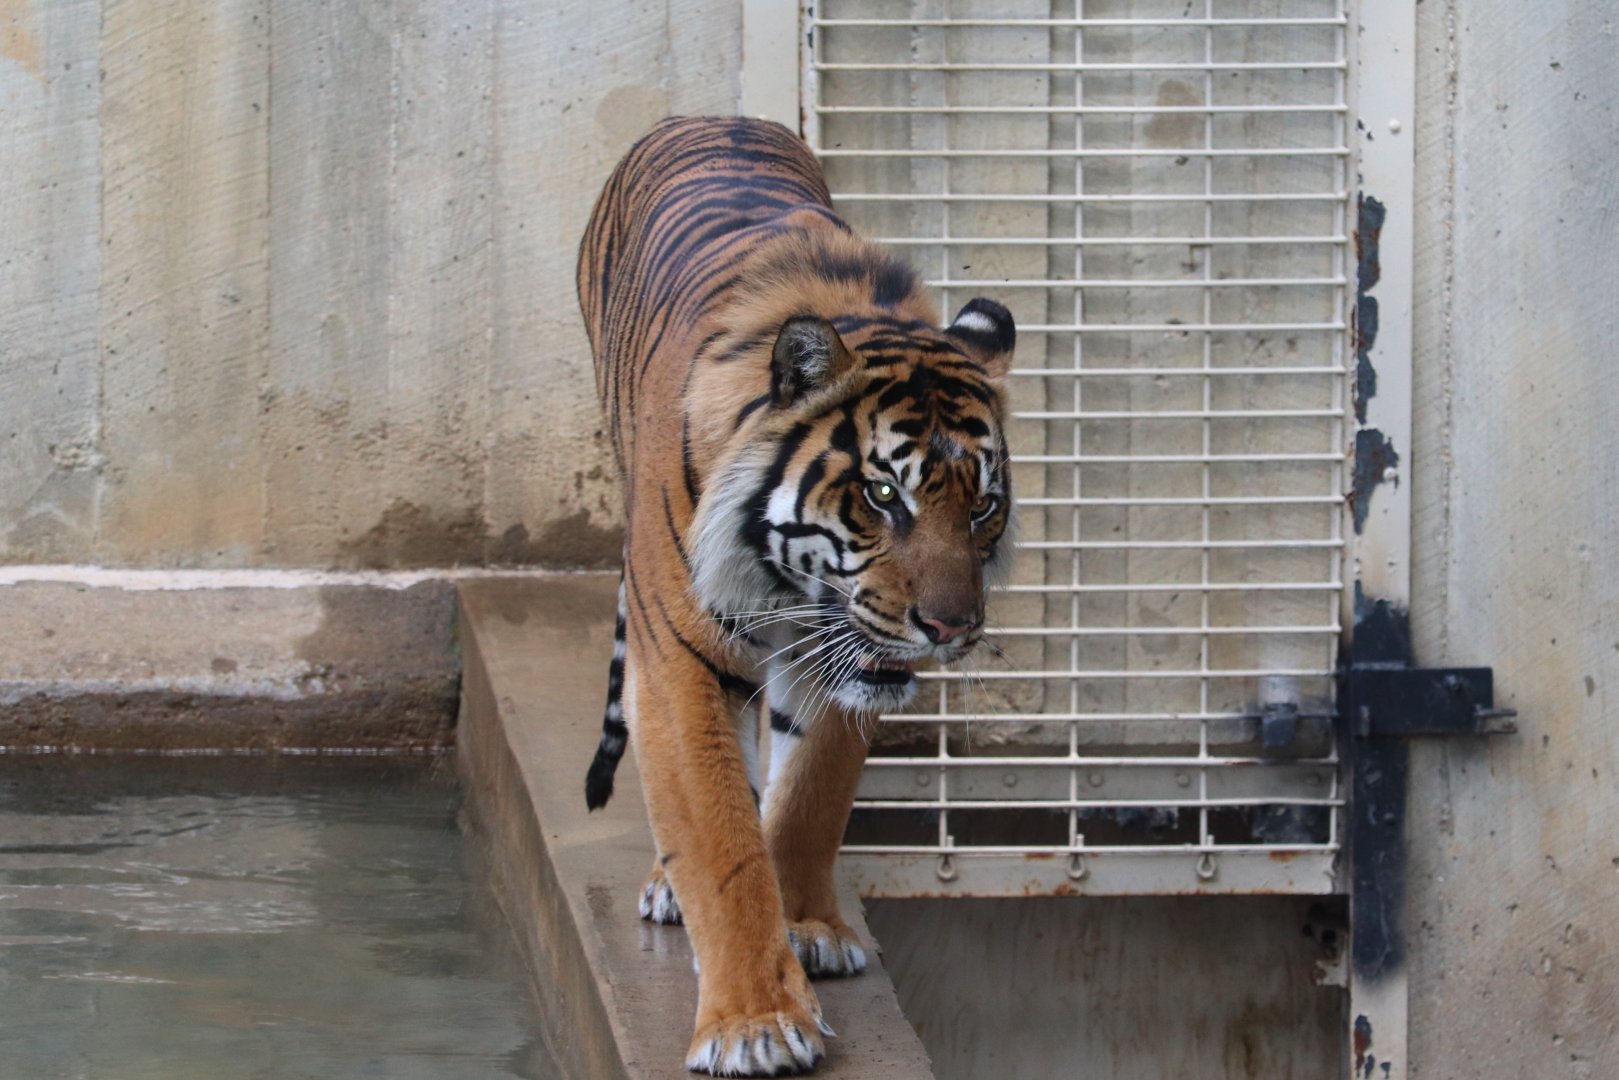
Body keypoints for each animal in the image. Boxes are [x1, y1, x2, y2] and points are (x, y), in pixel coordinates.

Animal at [576, 116, 1015, 1077]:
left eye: (981, 505)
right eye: (883, 495)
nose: (949, 628)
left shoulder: (844, 657)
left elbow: (810, 797)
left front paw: (807, 925)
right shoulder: (680, 663)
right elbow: (720, 838)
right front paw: (754, 1020)